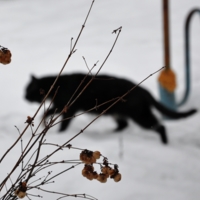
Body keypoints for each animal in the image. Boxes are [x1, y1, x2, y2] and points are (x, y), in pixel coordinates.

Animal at [25, 73, 197, 144]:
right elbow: (46, 112)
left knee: (160, 126)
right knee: (123, 125)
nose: (24, 97)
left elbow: (63, 123)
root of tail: (143, 90)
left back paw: (164, 143)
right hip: (117, 113)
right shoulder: (60, 106)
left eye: (27, 90)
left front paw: (60, 133)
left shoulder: (69, 108)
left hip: (140, 116)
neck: (56, 85)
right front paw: (43, 121)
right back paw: (109, 134)